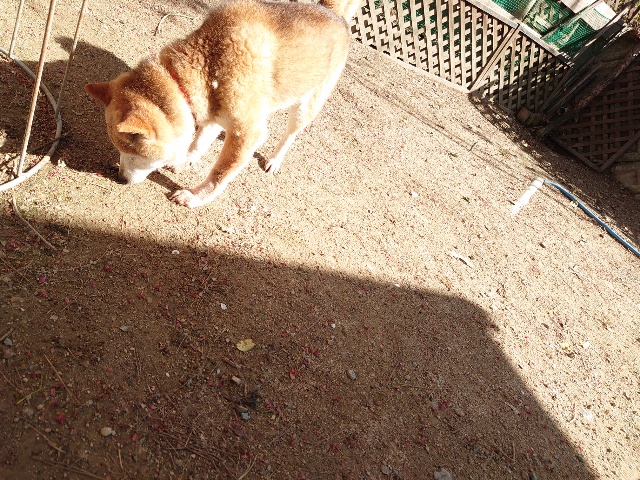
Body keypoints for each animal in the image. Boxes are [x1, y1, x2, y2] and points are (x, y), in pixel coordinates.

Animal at [85, 0, 360, 208]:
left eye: (134, 153)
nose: (120, 178)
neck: (208, 62)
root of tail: (333, 13)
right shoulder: (212, 112)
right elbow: (198, 143)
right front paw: (184, 162)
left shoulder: (245, 133)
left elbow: (219, 174)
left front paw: (194, 197)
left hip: (306, 105)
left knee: (290, 135)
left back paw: (274, 160)